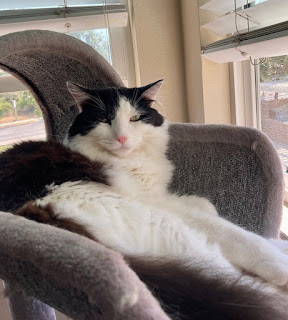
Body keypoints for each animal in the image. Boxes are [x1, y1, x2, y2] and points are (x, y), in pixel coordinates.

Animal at [1, 80, 288, 320]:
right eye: (104, 119)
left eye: (135, 118)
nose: (122, 138)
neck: (130, 160)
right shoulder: (157, 203)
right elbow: (237, 234)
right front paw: (275, 263)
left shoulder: (160, 195)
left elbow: (200, 204)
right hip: (169, 228)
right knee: (239, 280)